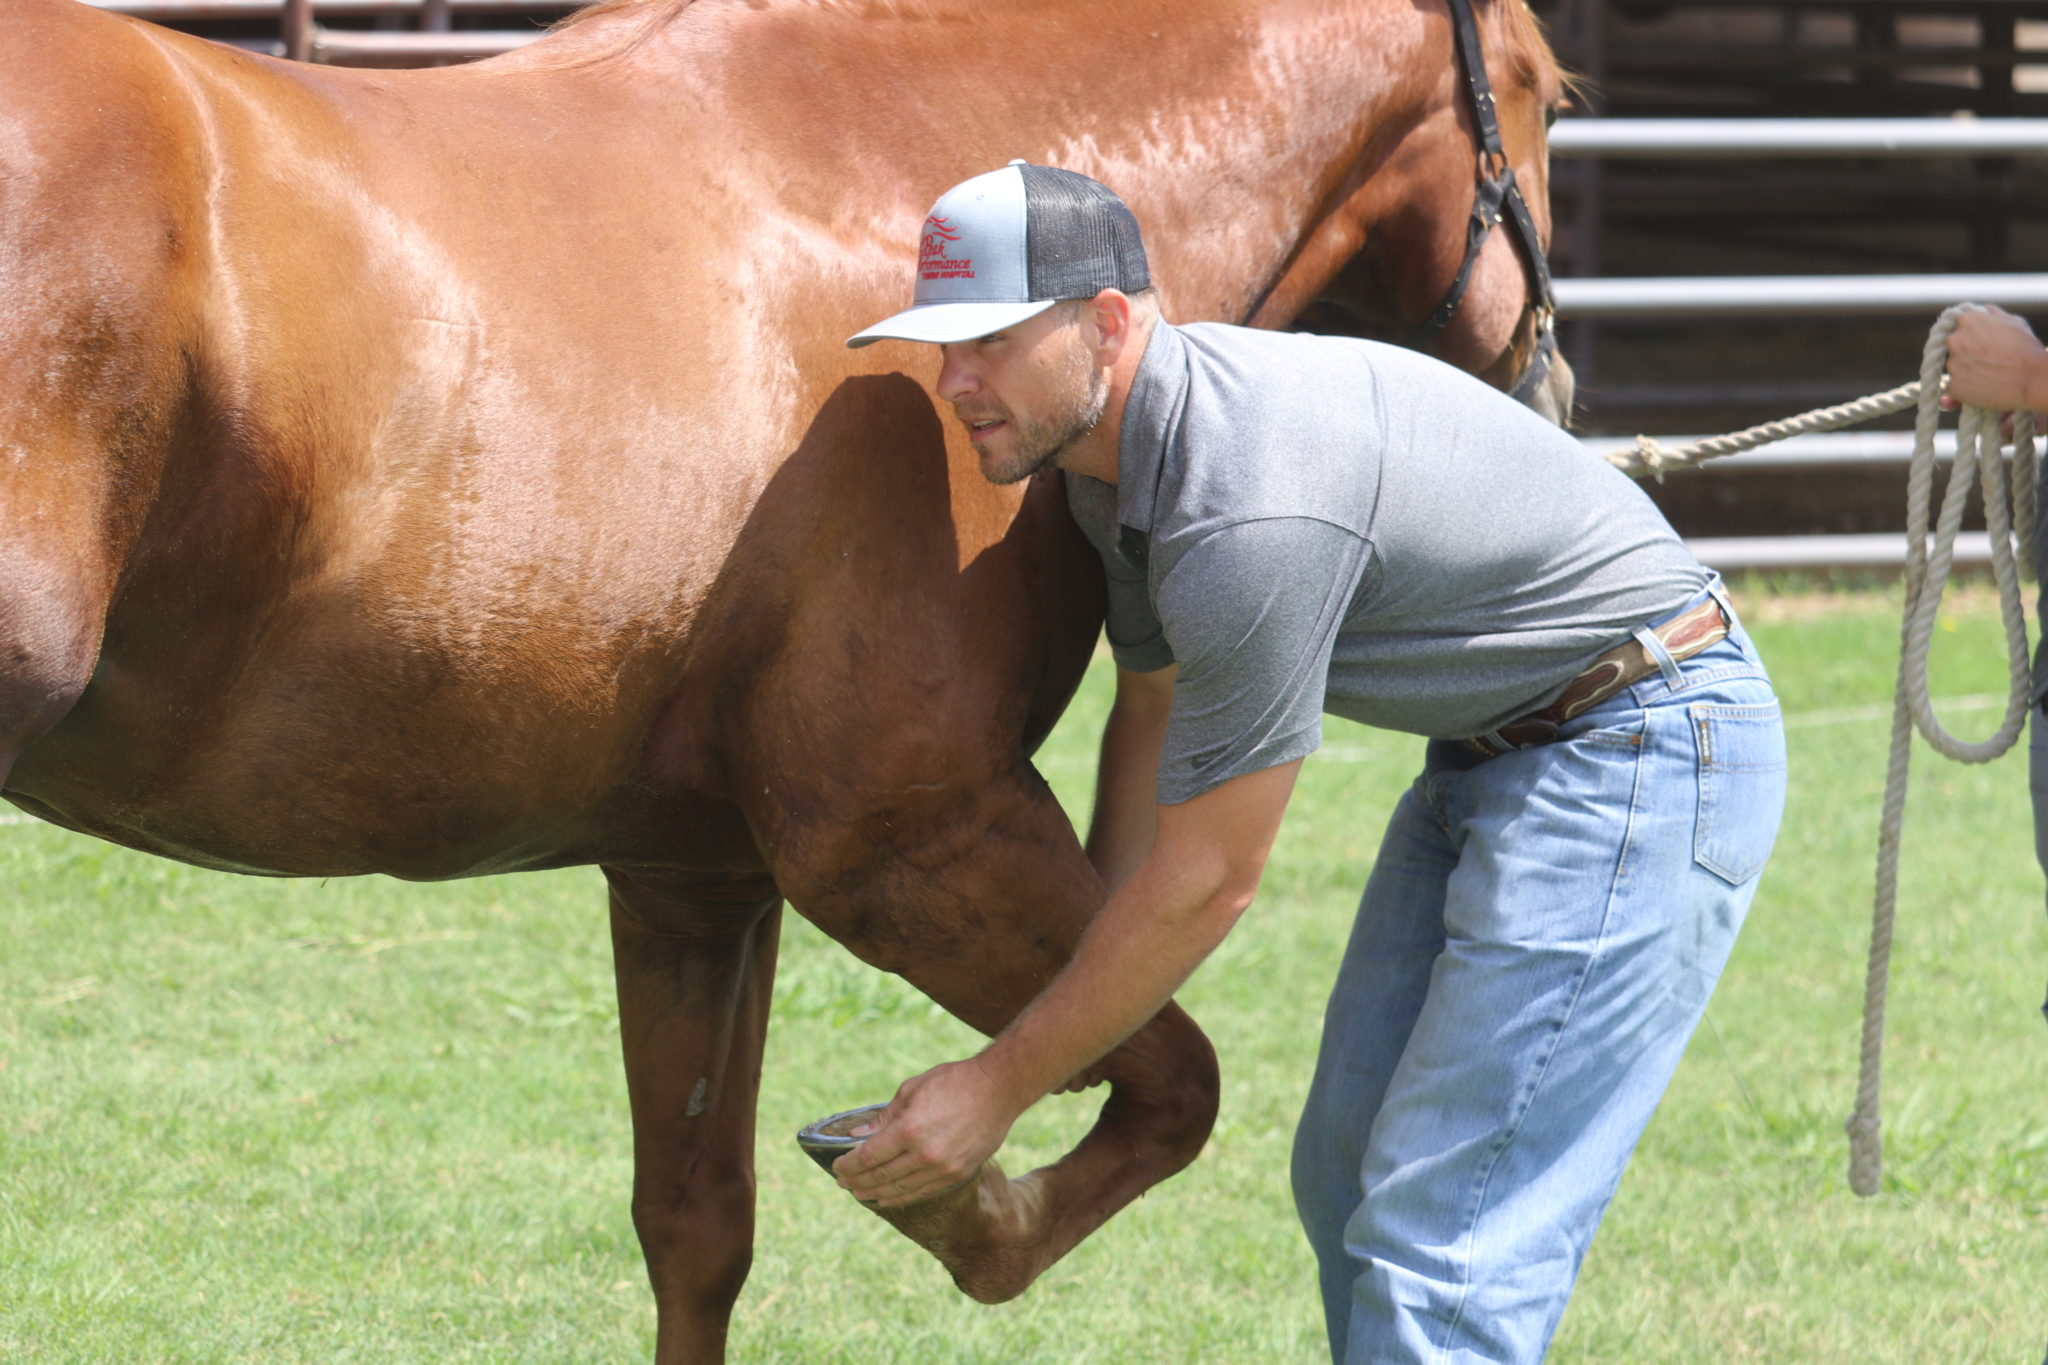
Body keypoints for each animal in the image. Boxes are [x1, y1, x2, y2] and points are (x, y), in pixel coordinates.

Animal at [0, 0, 1570, 1358]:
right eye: (1550, 93)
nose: (1549, 387)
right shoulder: (906, 841)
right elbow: (1174, 1082)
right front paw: (967, 1205)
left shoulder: (694, 881)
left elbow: (698, 1230)